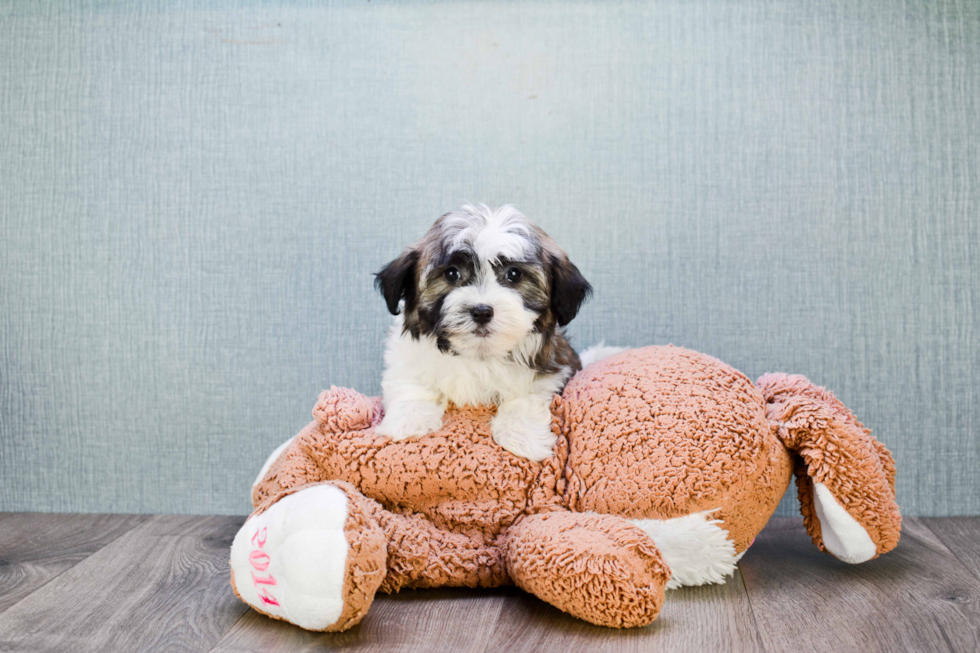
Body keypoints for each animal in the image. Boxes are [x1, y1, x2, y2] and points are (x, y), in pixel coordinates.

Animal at [374, 202, 588, 458]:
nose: (482, 311)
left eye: (514, 274)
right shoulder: (406, 361)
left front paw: (521, 437)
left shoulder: (553, 369)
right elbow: (412, 385)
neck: (478, 354)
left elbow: (525, 396)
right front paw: (409, 422)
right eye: (451, 273)